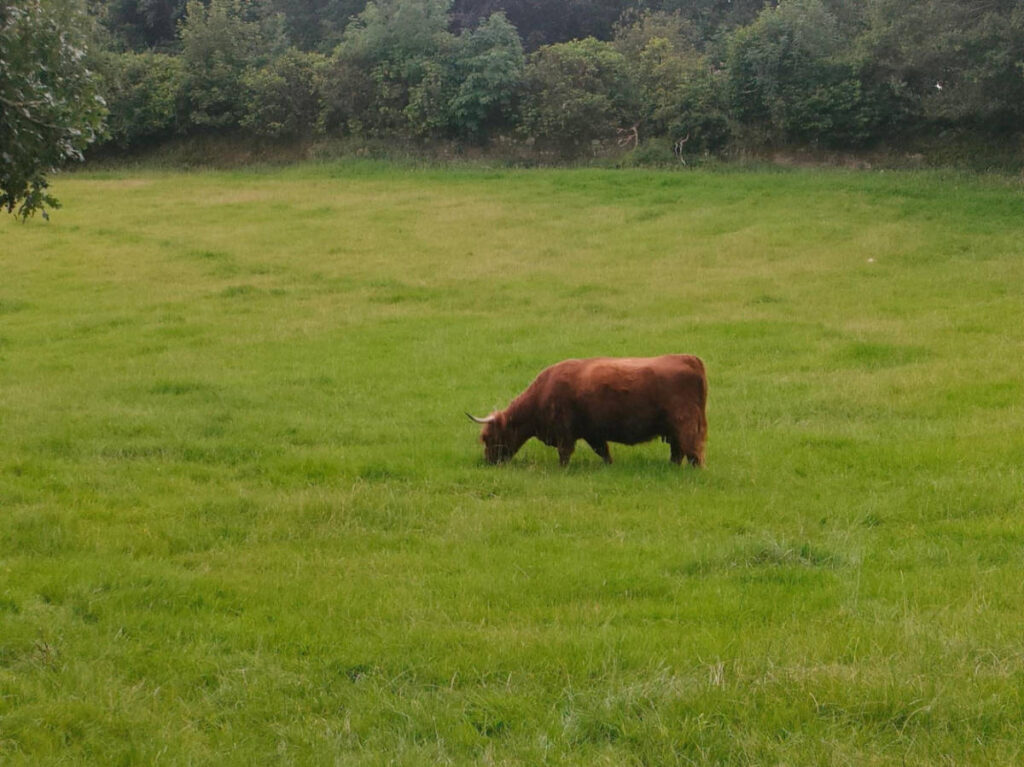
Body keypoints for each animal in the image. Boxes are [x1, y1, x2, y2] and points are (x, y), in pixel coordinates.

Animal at [467, 355, 707, 467]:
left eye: (489, 437)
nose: (488, 461)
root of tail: (690, 359)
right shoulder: (593, 433)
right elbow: (604, 452)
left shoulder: (564, 434)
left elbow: (564, 454)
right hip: (674, 431)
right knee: (678, 452)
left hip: (685, 425)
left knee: (693, 453)